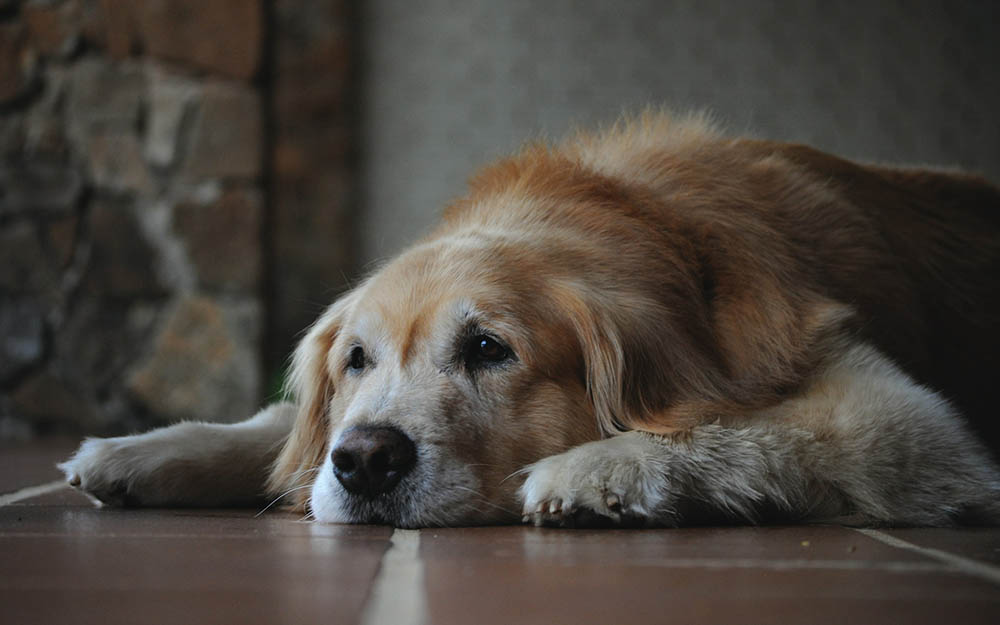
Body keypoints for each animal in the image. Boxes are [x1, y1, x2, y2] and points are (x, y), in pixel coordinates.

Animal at [58, 112, 996, 528]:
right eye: (357, 359)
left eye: (488, 348)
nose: (365, 462)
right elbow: (283, 428)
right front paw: (145, 450)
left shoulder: (902, 420)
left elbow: (737, 425)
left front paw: (599, 468)